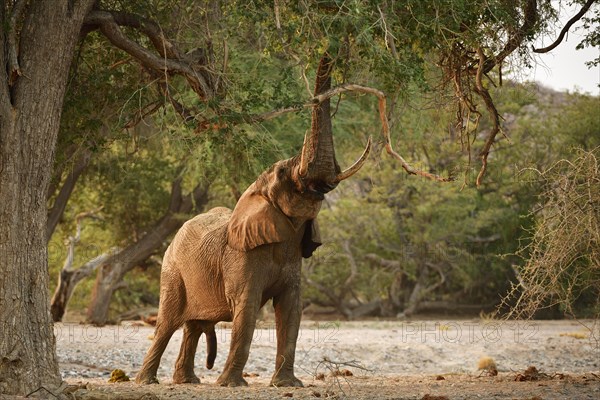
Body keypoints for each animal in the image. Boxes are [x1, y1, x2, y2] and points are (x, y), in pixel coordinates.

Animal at [136, 54, 370, 388]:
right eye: (284, 172)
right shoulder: (240, 256)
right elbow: (246, 309)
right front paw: (231, 385)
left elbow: (291, 310)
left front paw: (286, 385)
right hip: (171, 272)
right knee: (167, 322)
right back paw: (147, 382)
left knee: (194, 326)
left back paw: (188, 382)